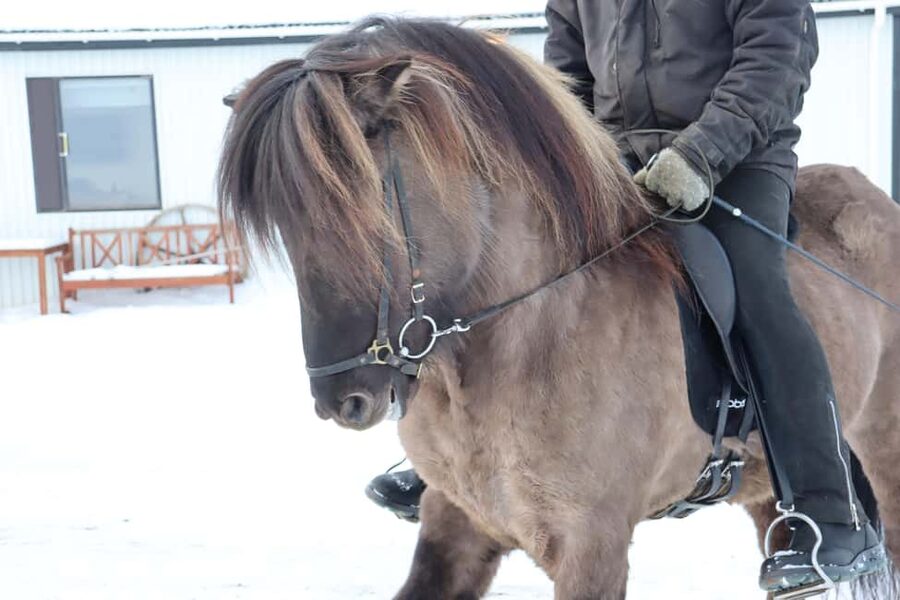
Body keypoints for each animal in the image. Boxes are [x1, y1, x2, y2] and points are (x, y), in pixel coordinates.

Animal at [218, 18, 900, 599]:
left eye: (362, 203)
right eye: (285, 224)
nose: (343, 400)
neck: (529, 331)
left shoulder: (590, 545)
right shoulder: (455, 523)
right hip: (764, 494)